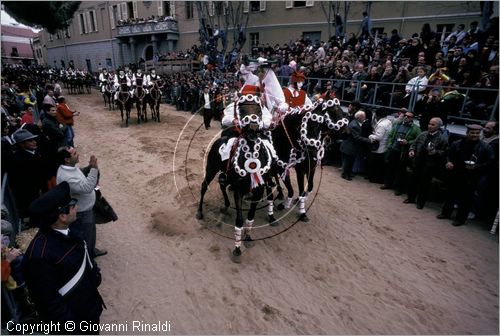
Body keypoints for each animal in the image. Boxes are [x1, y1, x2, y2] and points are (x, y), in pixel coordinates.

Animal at [195, 94, 276, 262]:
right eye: (242, 110)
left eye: (259, 110)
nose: (252, 130)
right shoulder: (239, 190)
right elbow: (239, 219)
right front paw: (237, 249)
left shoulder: (258, 191)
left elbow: (250, 216)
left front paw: (248, 237)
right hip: (211, 168)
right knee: (204, 186)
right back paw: (200, 212)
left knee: (222, 185)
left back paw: (225, 206)